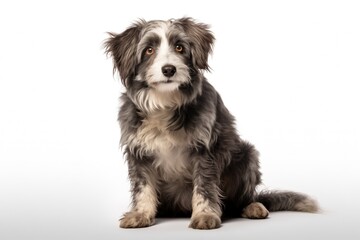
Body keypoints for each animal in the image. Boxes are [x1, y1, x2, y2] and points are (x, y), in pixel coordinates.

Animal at [104, 17, 318, 230]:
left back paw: (252, 206)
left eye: (179, 47)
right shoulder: (138, 153)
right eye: (149, 50)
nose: (169, 69)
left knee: (239, 201)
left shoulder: (206, 150)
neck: (165, 102)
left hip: (247, 155)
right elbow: (143, 186)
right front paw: (141, 213)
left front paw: (205, 214)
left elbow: (204, 186)